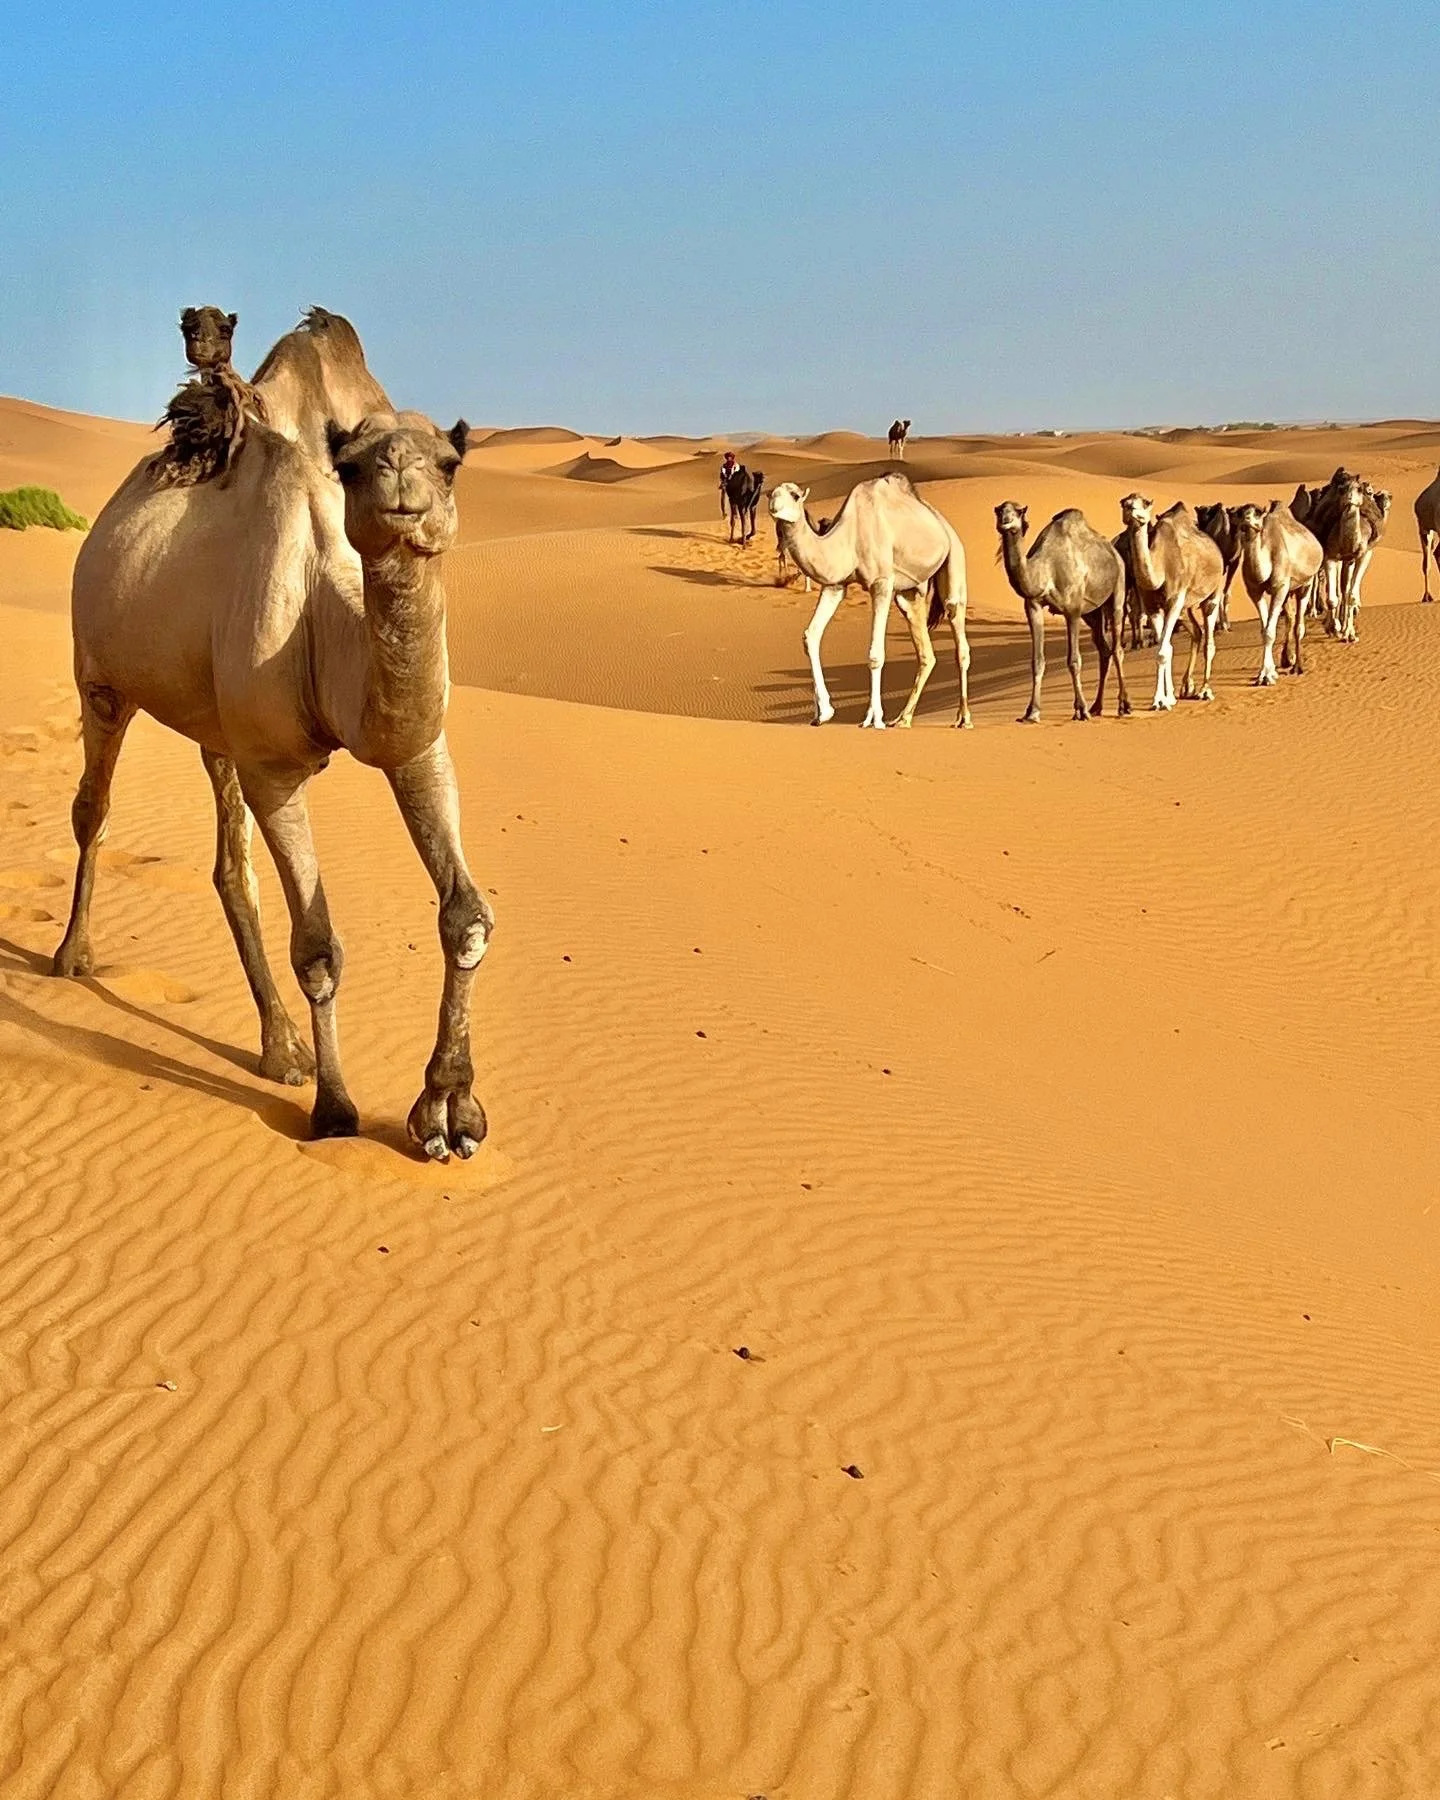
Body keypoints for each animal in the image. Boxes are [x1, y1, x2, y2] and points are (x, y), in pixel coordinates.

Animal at [52, 315, 490, 1162]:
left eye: (450, 464)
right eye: (352, 466)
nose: (400, 480)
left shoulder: (418, 747)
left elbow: (466, 916)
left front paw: (449, 1109)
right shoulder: (276, 768)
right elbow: (318, 946)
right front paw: (336, 1109)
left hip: (215, 727)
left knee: (230, 869)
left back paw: (278, 1045)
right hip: (101, 673)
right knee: (94, 808)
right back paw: (72, 955)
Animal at [769, 473, 970, 729]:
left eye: (794, 495)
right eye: (771, 493)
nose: (774, 507)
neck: (850, 534)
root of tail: (944, 525)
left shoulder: (881, 582)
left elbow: (875, 655)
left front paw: (874, 718)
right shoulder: (835, 585)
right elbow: (810, 636)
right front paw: (823, 713)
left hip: (954, 556)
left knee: (957, 625)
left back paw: (964, 718)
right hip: (909, 592)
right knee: (926, 652)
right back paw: (903, 719)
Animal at [994, 503, 1130, 723]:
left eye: (1018, 512)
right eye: (999, 511)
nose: (1005, 522)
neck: (1046, 569)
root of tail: (1114, 552)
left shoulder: (1072, 610)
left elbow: (1074, 661)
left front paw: (1081, 710)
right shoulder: (1033, 606)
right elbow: (1037, 661)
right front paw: (1031, 712)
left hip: (1117, 589)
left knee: (1117, 648)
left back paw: (1123, 705)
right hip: (1092, 613)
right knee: (1104, 650)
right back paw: (1097, 706)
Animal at [1118, 494, 1226, 708]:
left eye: (1145, 503)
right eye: (1123, 502)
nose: (1130, 508)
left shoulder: (1175, 600)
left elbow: (1162, 651)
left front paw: (1161, 700)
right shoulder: (1153, 607)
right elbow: (1166, 650)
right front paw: (1167, 698)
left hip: (1212, 593)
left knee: (1209, 640)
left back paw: (1205, 690)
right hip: (1187, 608)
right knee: (1197, 632)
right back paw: (1187, 687)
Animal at [1233, 502, 1323, 682]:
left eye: (1257, 512)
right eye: (1240, 513)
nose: (1247, 520)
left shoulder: (1280, 587)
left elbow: (1270, 631)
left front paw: (1267, 676)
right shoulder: (1254, 591)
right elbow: (1264, 631)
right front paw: (1265, 673)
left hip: (1306, 583)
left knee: (1299, 625)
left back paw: (1298, 667)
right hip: (1288, 591)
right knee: (1290, 617)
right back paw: (1287, 659)